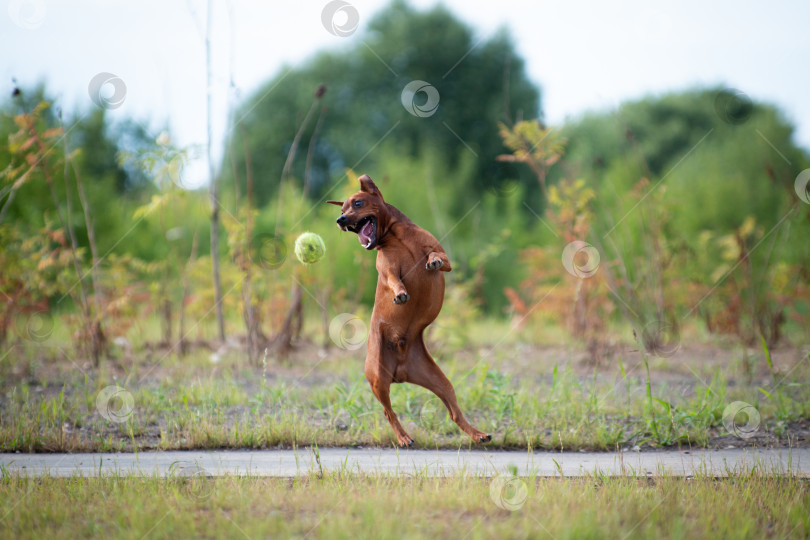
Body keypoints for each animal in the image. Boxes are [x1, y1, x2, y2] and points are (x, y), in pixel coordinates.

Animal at [326, 174, 490, 448]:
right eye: (341, 210)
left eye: (357, 204)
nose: (340, 221)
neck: (396, 236)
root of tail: (400, 371)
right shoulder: (388, 271)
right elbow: (394, 281)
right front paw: (400, 293)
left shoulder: (444, 259)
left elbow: (438, 258)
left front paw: (432, 261)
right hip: (378, 378)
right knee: (388, 412)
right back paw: (403, 437)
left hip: (440, 382)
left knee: (454, 412)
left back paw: (478, 434)